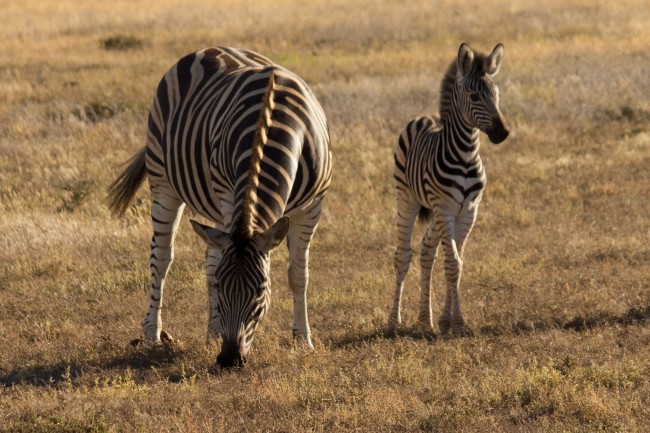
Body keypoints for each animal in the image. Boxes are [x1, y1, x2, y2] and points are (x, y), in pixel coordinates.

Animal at [107, 46, 330, 364]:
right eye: (223, 289)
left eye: (260, 291)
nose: (229, 359)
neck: (272, 124)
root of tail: (208, 49)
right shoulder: (228, 193)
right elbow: (214, 269)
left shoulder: (313, 206)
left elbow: (298, 275)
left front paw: (303, 341)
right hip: (163, 179)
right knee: (161, 258)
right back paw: (153, 334)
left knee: (210, 257)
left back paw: (212, 334)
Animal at [388, 43, 508, 334]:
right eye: (474, 96)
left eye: (497, 94)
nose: (503, 132)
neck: (465, 156)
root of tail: (425, 116)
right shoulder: (444, 210)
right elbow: (452, 263)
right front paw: (455, 322)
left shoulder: (468, 212)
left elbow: (458, 263)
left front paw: (449, 321)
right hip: (406, 198)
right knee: (403, 255)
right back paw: (394, 321)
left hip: (437, 213)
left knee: (426, 251)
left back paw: (424, 319)